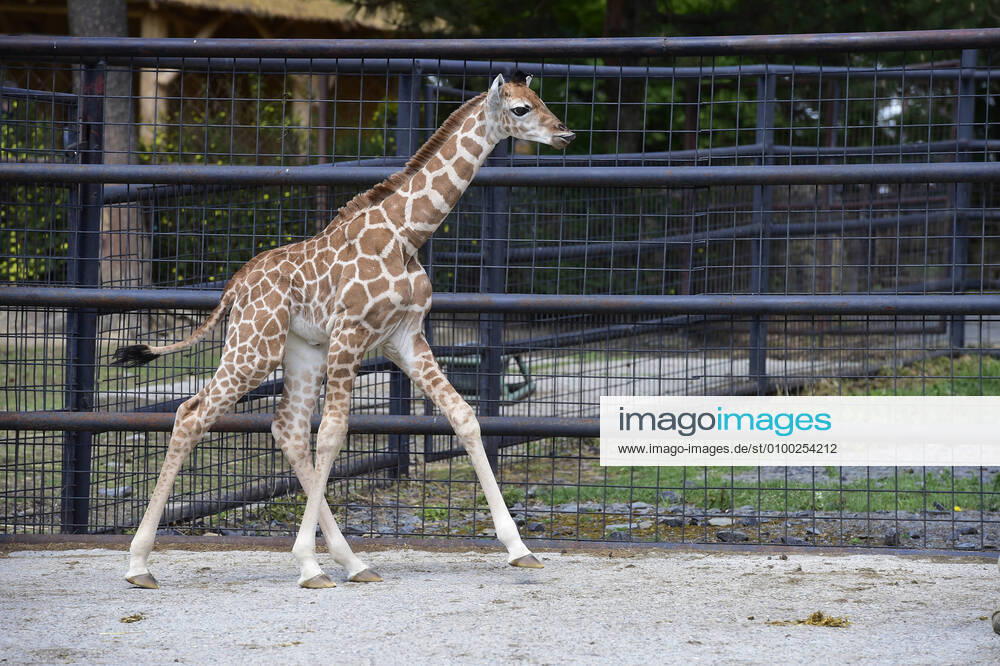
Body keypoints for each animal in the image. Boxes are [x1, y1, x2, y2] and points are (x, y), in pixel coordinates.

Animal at [112, 71, 575, 589]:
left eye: (539, 99)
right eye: (520, 109)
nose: (565, 133)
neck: (407, 235)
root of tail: (235, 285)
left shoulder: (405, 338)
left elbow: (464, 416)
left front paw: (520, 550)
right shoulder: (352, 333)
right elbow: (334, 433)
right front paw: (306, 562)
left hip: (300, 351)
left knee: (288, 428)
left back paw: (352, 561)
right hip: (255, 347)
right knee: (192, 413)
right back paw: (139, 564)